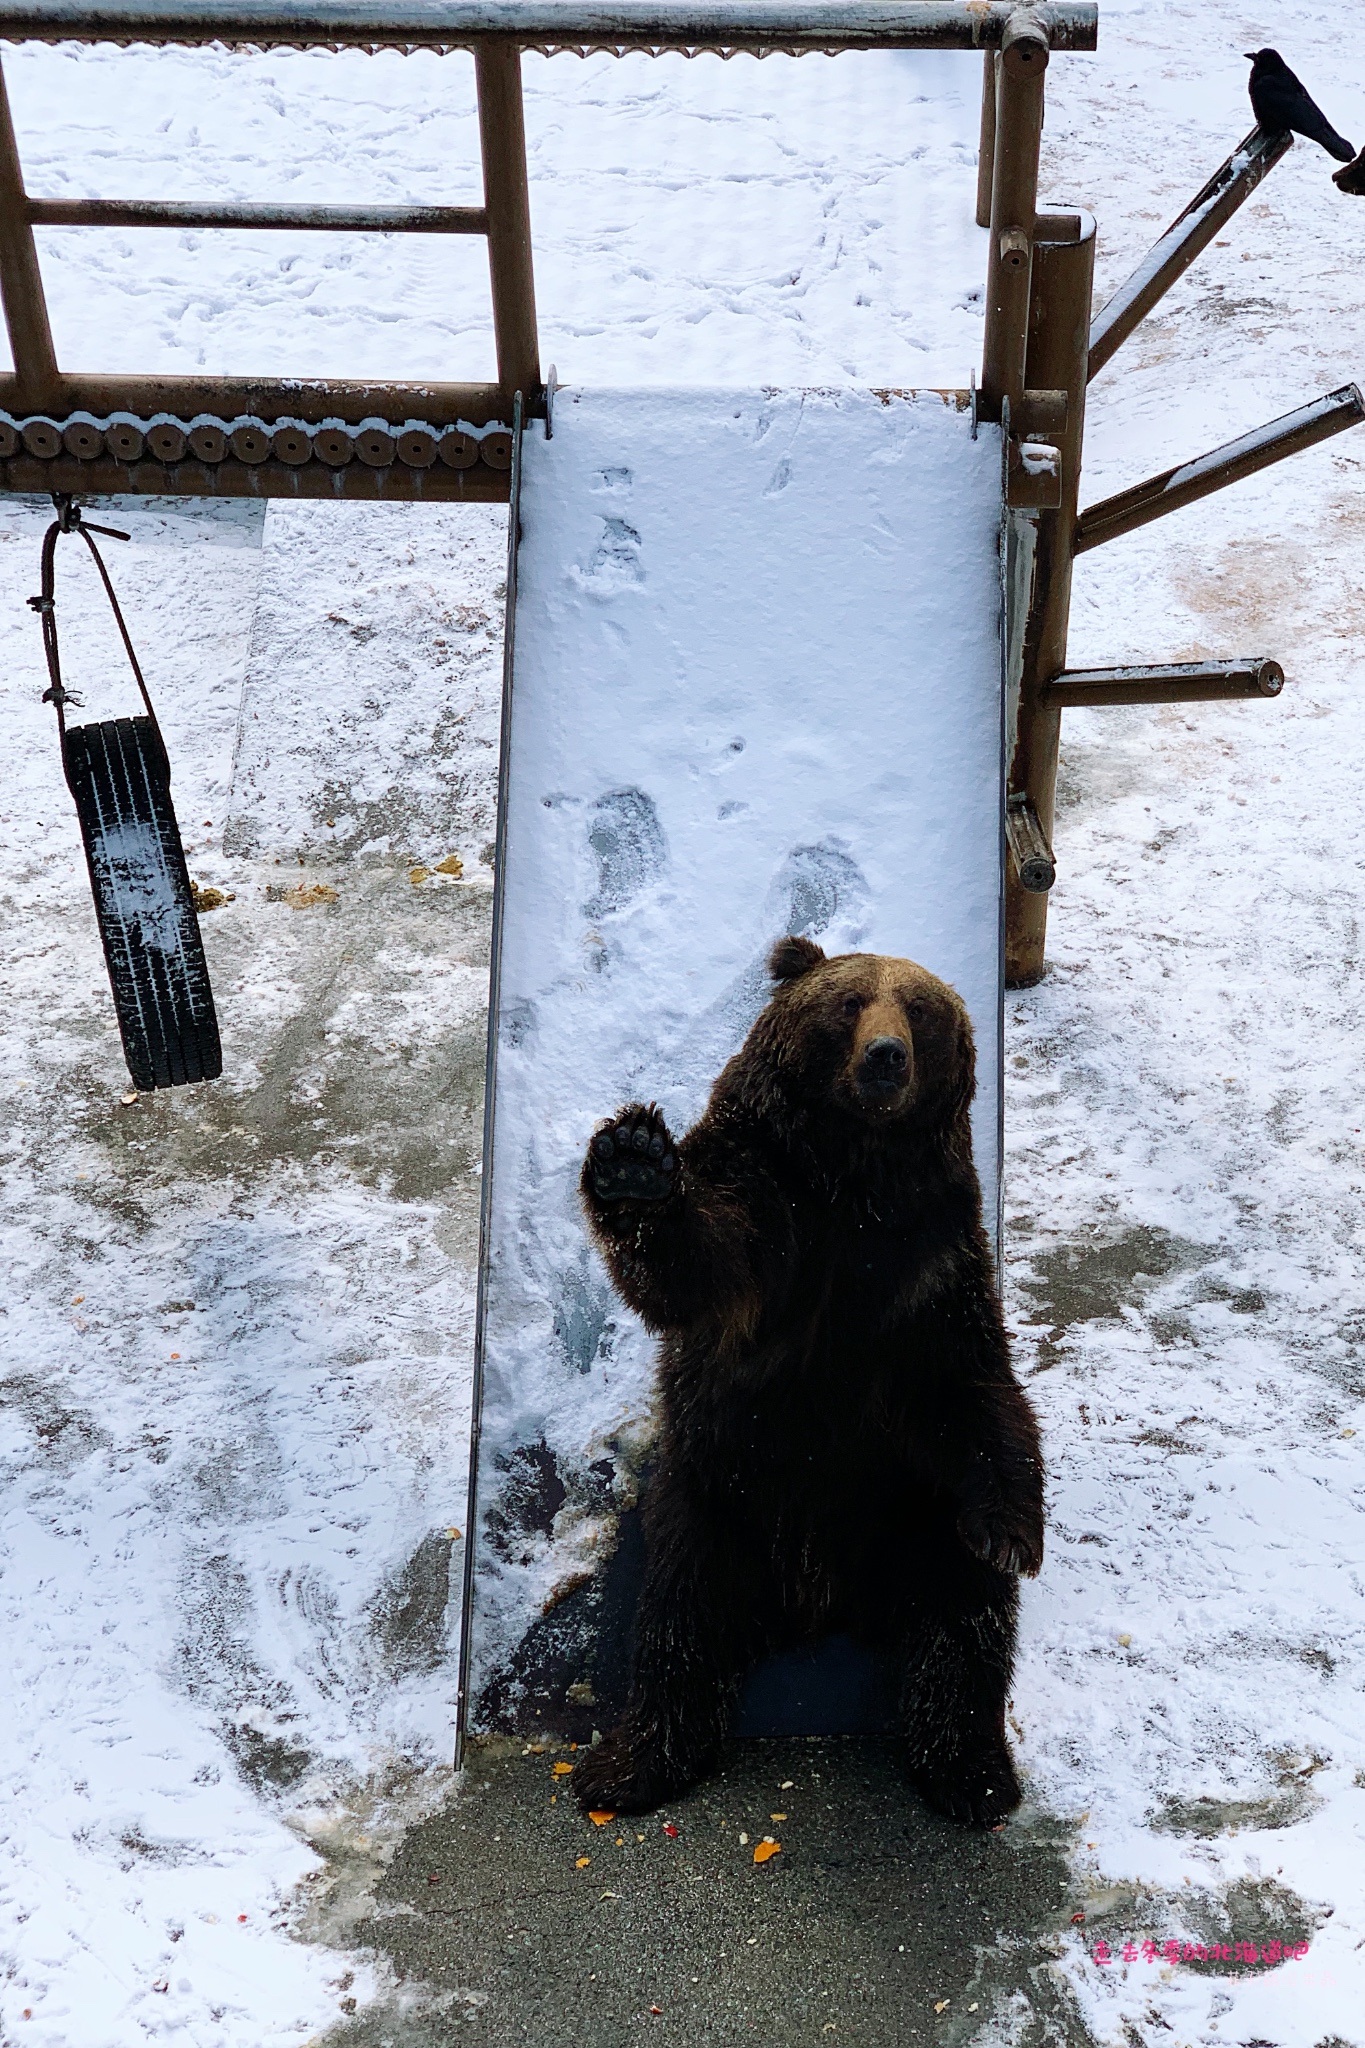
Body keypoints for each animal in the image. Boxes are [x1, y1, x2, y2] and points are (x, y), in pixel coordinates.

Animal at [573, 937, 1039, 1818]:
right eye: (849, 1001)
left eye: (918, 1009)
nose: (886, 1057)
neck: (855, 1176)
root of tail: (818, 1602)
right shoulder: (771, 1214)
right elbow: (696, 1264)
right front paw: (632, 1161)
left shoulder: (929, 1271)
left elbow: (973, 1388)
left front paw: (1013, 1533)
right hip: (711, 1505)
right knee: (675, 1627)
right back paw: (628, 1765)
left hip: (914, 1514)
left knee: (962, 1624)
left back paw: (969, 1773)